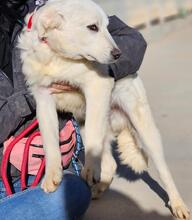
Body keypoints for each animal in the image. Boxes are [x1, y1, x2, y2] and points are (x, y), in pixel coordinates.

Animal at [18, 0, 190, 218]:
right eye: (93, 27)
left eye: (107, 27)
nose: (119, 54)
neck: (58, 58)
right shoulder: (43, 99)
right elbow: (50, 144)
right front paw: (52, 175)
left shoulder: (97, 87)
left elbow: (92, 138)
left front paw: (90, 168)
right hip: (87, 125)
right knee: (110, 164)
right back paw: (97, 189)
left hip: (145, 130)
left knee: (163, 170)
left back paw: (178, 204)